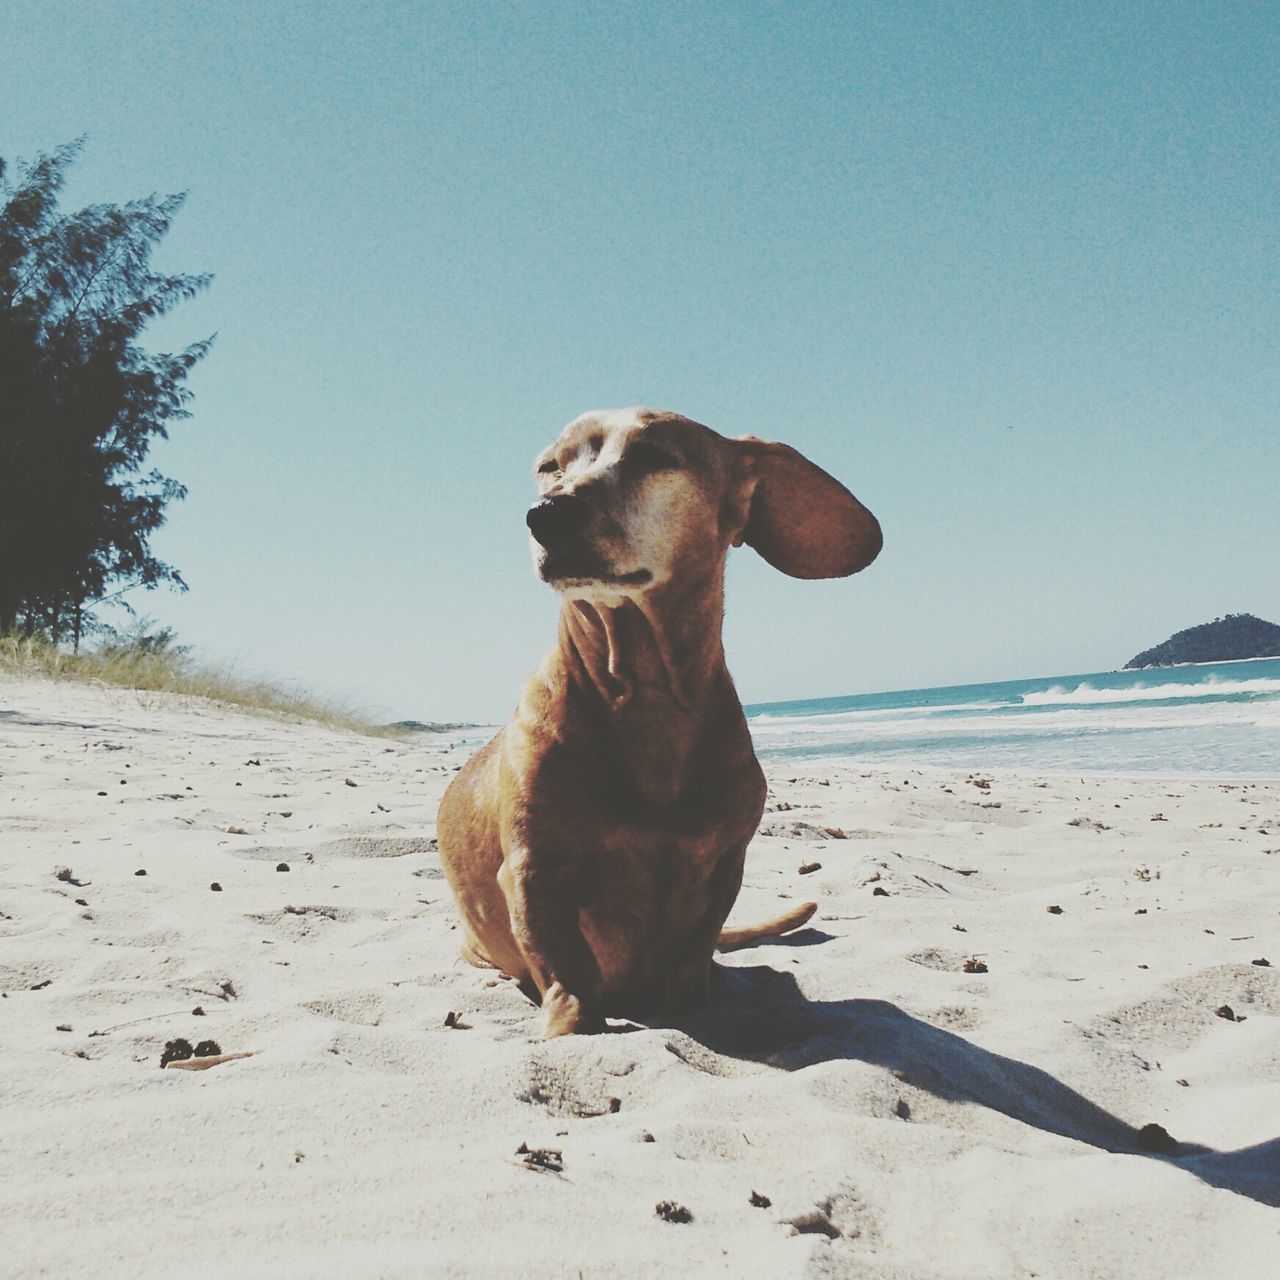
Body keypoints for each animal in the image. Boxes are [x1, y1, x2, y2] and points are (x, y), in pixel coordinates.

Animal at [440, 409, 880, 1039]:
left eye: (654, 456)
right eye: (549, 467)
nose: (546, 513)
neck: (643, 695)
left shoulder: (724, 865)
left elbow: (692, 955)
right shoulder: (533, 872)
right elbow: (567, 975)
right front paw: (572, 1023)